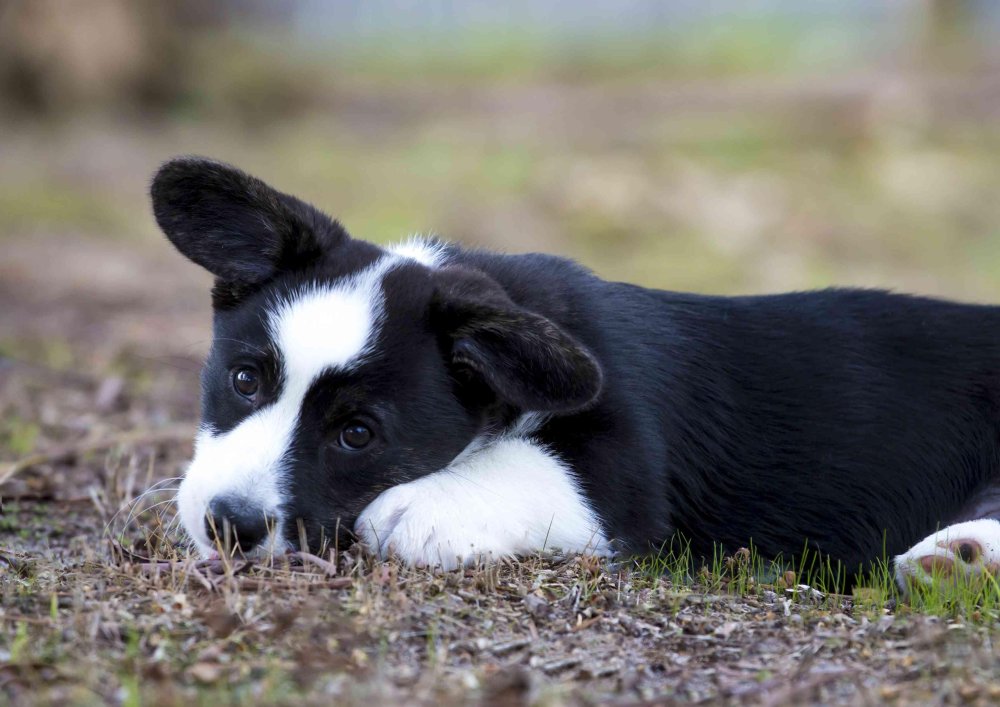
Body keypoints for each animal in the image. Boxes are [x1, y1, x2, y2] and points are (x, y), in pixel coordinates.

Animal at [150, 158, 1000, 588]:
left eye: (358, 433)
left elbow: (530, 466)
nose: (229, 524)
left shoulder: (624, 470)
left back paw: (958, 559)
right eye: (245, 381)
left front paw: (416, 507)